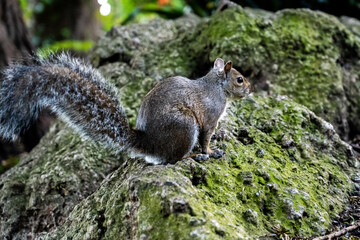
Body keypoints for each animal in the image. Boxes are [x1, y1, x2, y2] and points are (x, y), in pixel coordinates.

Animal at [0, 53, 250, 164]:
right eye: (239, 79)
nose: (250, 89)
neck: (216, 86)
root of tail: (149, 144)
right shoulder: (209, 117)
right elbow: (206, 137)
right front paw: (210, 151)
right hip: (185, 126)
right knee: (173, 159)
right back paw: (194, 155)